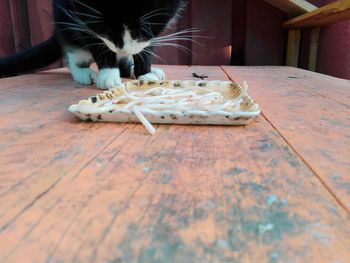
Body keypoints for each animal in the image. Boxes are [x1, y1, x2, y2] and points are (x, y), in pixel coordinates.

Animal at [0, 0, 187, 89]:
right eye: (104, 27)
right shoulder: (81, 13)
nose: (121, 48)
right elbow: (97, 41)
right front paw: (109, 75)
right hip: (63, 20)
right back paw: (83, 73)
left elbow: (146, 45)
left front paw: (145, 73)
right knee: (73, 49)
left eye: (142, 29)